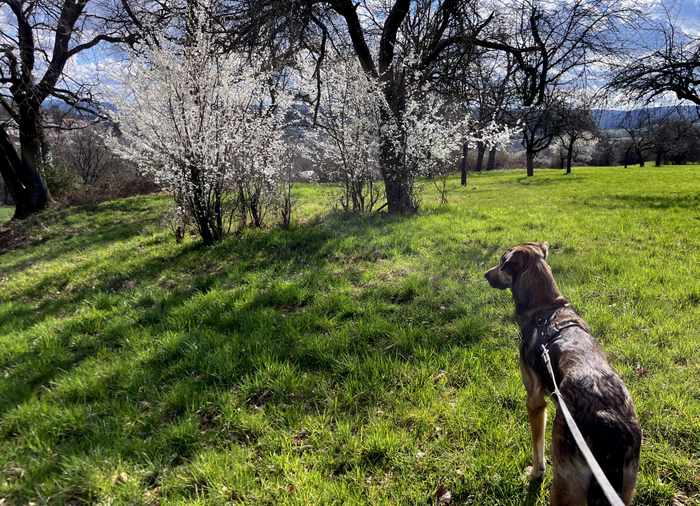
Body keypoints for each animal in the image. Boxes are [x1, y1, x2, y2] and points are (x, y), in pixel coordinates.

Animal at [486, 243, 640, 504]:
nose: (486, 275)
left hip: (565, 486)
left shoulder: (535, 400)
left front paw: (535, 473)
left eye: (502, 262)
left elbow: (537, 446)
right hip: (624, 490)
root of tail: (609, 421)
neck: (545, 307)